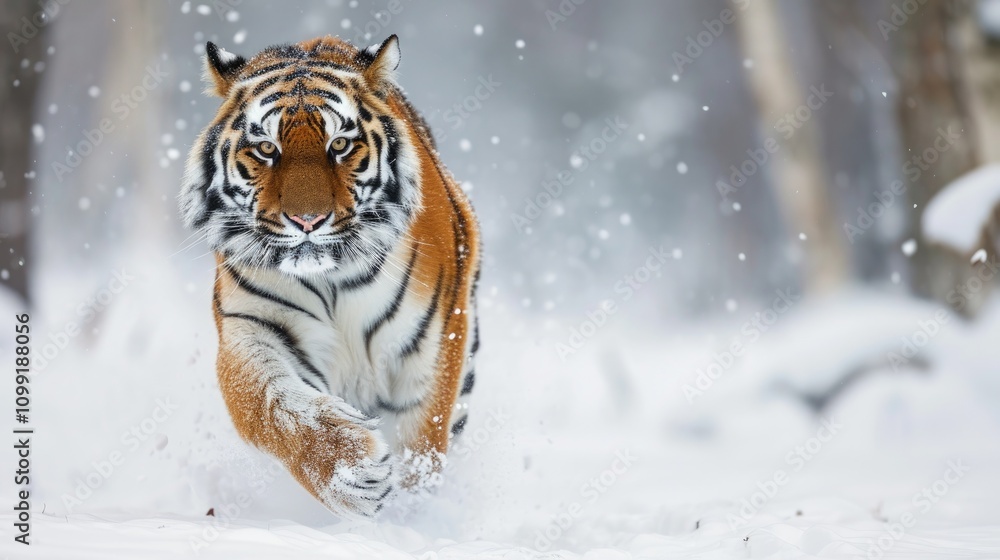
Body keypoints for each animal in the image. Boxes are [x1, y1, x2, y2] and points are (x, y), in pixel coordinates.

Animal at [178, 34, 481, 518]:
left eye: (339, 145)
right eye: (266, 149)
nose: (308, 220)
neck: (331, 278)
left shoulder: (432, 344)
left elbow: (423, 444)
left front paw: (412, 516)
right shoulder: (251, 329)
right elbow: (275, 406)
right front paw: (353, 472)